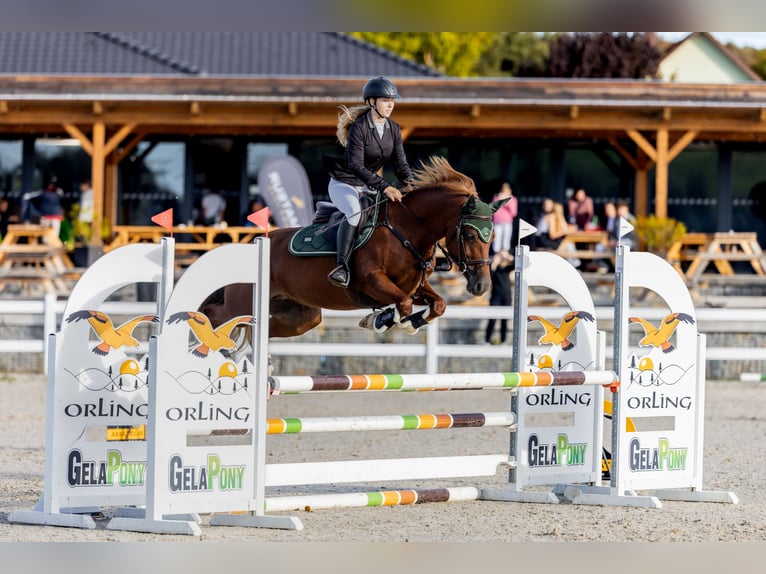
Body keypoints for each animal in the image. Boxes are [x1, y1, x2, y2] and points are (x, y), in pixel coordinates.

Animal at [201, 156, 507, 338]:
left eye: (492, 237)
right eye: (469, 235)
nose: (481, 286)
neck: (409, 229)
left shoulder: (414, 287)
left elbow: (438, 304)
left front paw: (410, 323)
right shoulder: (372, 280)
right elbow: (403, 304)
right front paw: (381, 320)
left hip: (300, 316)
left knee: (261, 328)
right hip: (242, 302)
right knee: (217, 317)